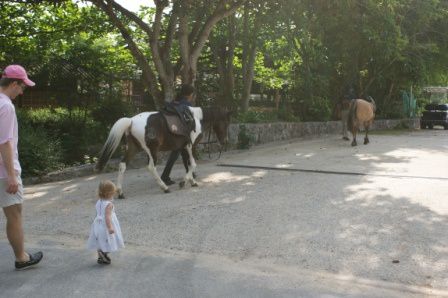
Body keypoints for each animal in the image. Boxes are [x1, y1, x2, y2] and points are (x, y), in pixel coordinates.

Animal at [97, 106, 231, 197]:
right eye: (226, 123)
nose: (225, 141)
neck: (196, 119)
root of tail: (131, 121)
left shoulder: (182, 148)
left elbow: (188, 165)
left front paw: (192, 181)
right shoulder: (190, 146)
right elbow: (193, 164)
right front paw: (184, 182)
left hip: (133, 148)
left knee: (122, 165)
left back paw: (120, 192)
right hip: (152, 150)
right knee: (151, 167)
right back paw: (164, 187)